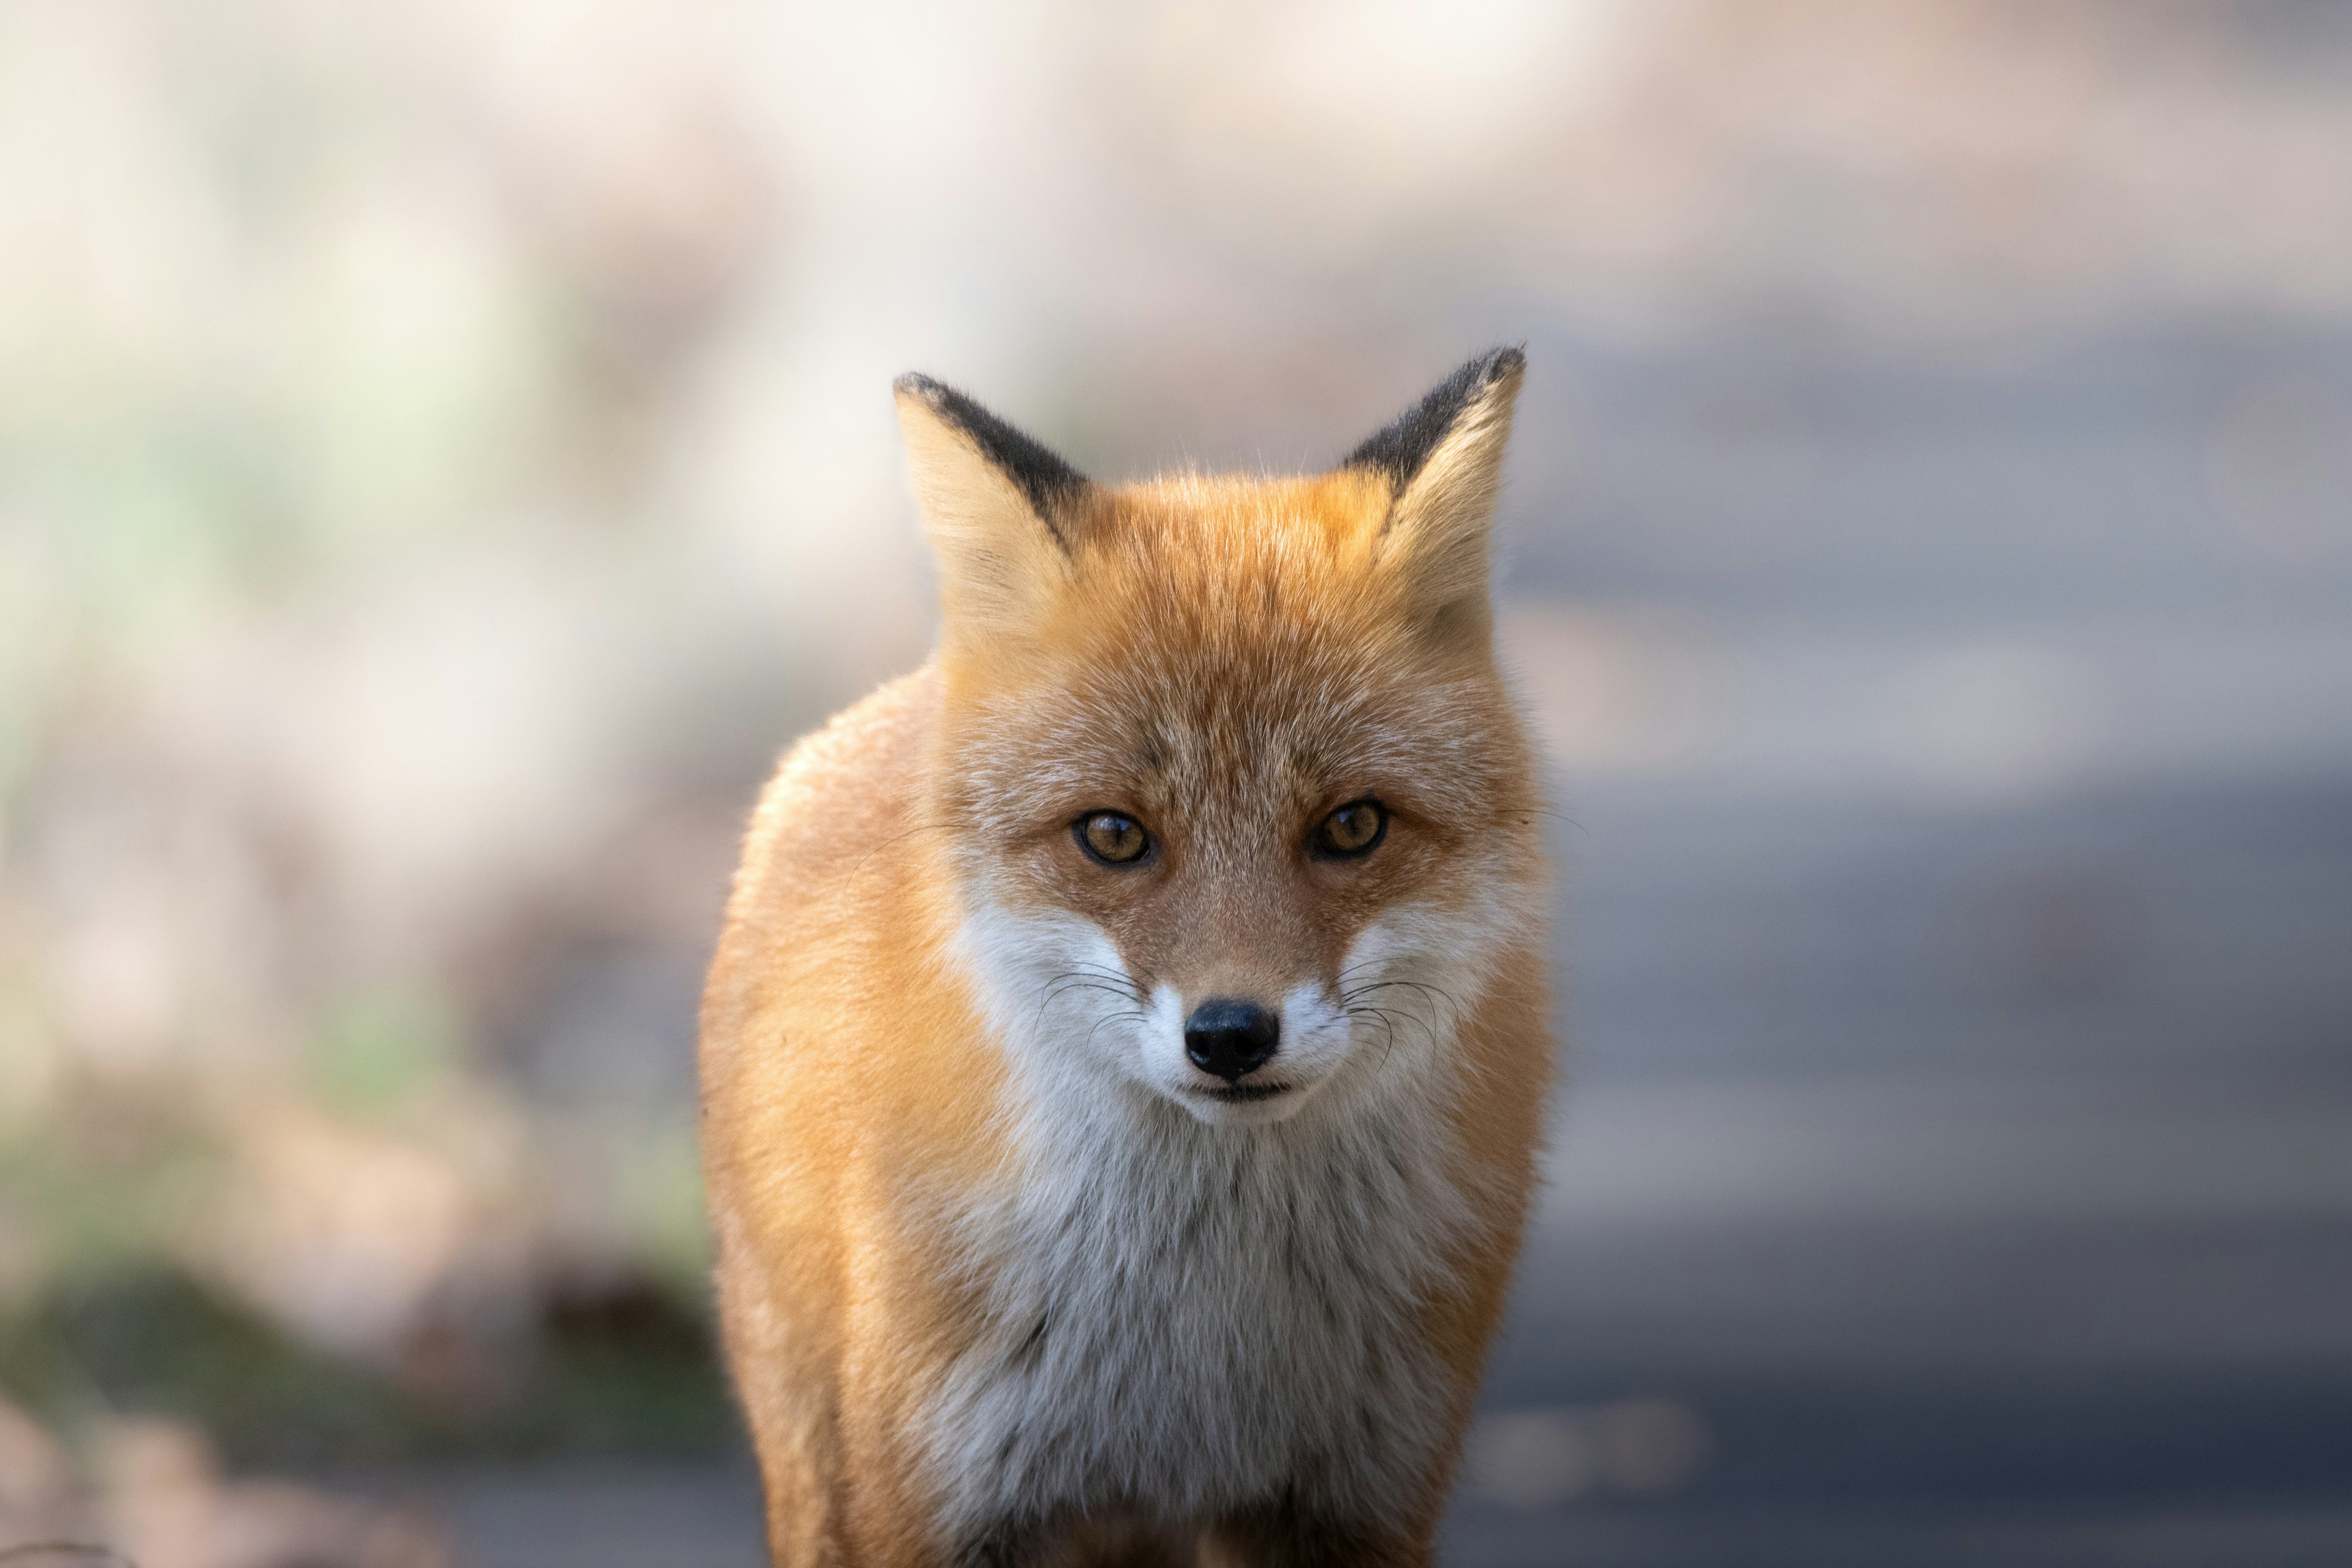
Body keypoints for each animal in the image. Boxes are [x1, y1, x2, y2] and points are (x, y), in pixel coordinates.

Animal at [696, 355, 1561, 1568]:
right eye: (1113, 836)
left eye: (1351, 827)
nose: (1232, 1035)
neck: (1196, 1341)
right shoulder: (936, 1497)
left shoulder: (1354, 1500)